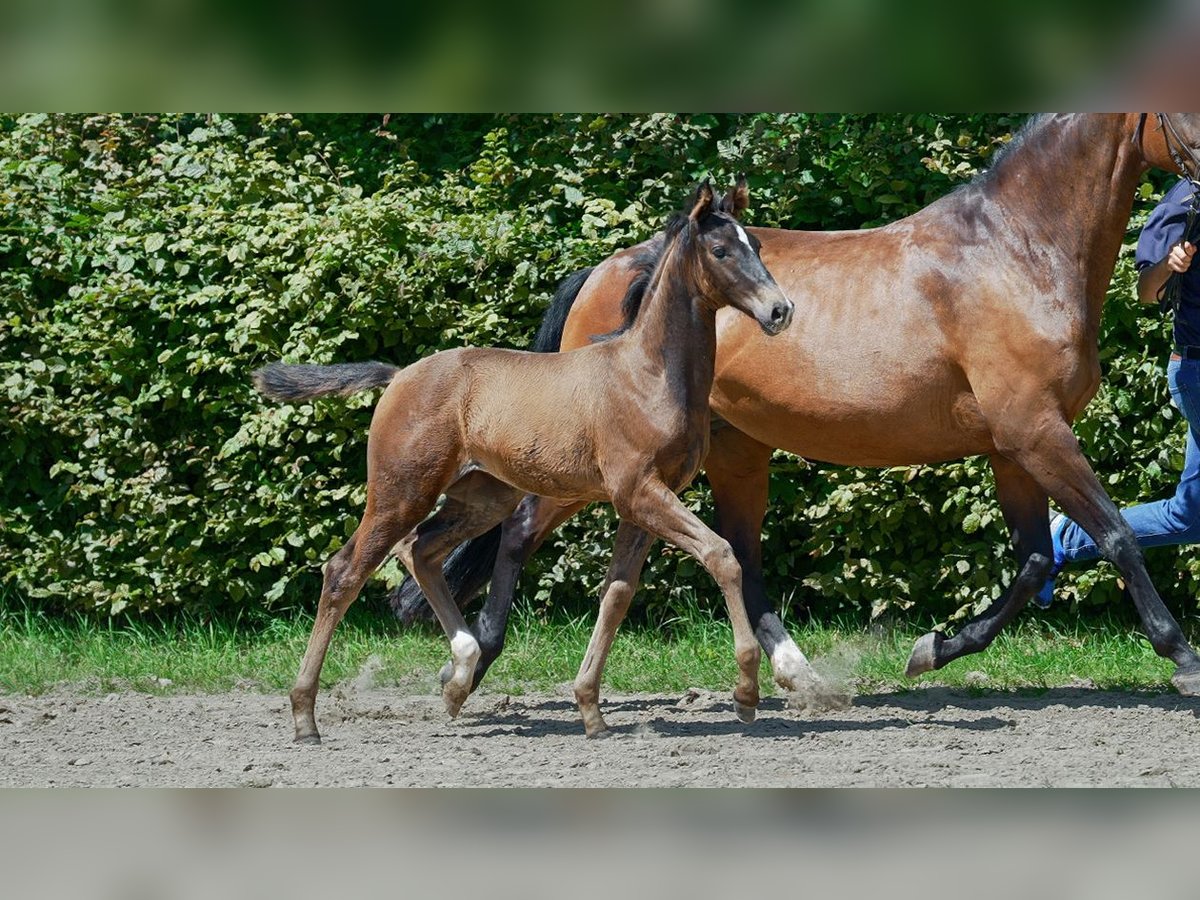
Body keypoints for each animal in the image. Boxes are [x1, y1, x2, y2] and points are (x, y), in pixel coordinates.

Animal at [253, 180, 801, 744]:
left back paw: (460, 673)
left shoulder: (642, 503)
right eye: (721, 250)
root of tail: (400, 374)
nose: (780, 310)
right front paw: (745, 693)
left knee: (420, 550)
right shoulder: (640, 492)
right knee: (344, 571)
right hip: (401, 491)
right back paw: (305, 717)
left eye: (758, 246)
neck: (646, 374)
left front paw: (591, 710)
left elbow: (617, 594)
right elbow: (722, 555)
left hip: (482, 497)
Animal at [398, 112, 1200, 700]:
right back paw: (472, 661)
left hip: (732, 450)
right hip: (599, 462)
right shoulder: (1036, 432)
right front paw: (1183, 657)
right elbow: (1115, 536)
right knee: (521, 529)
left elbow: (1037, 559)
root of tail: (609, 268)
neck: (1014, 252)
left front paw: (934, 647)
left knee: (741, 557)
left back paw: (799, 675)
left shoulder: (1013, 446)